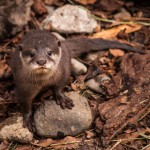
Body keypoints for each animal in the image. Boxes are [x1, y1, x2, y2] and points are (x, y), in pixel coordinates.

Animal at [10, 29, 144, 131]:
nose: (41, 61)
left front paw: (62, 99)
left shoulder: (63, 72)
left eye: (49, 52)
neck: (43, 81)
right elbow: (24, 103)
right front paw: (28, 119)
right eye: (31, 53)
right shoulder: (23, 87)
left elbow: (59, 86)